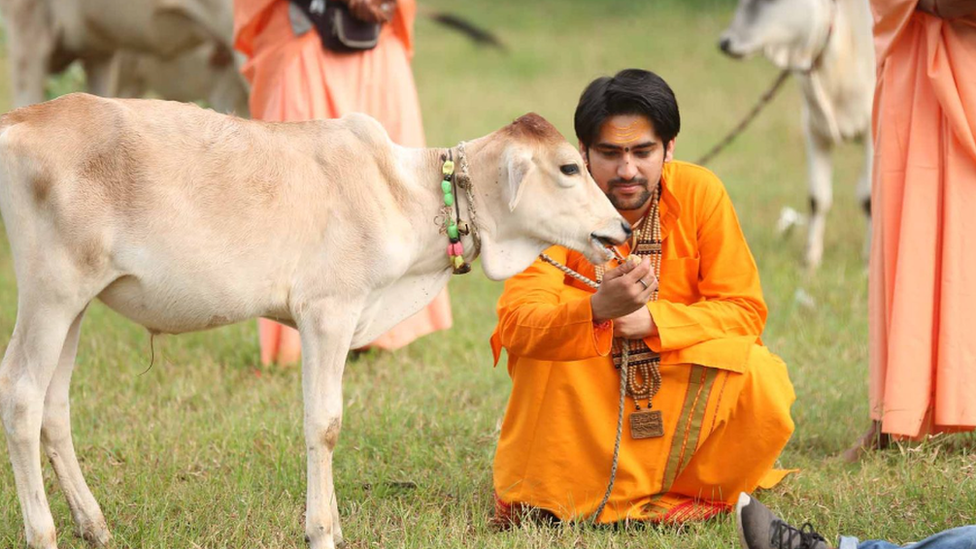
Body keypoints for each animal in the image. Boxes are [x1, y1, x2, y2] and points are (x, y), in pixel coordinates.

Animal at [716, 0, 876, 268]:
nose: (725, 42)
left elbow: (869, 199)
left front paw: (868, 263)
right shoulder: (814, 129)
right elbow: (817, 198)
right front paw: (810, 260)